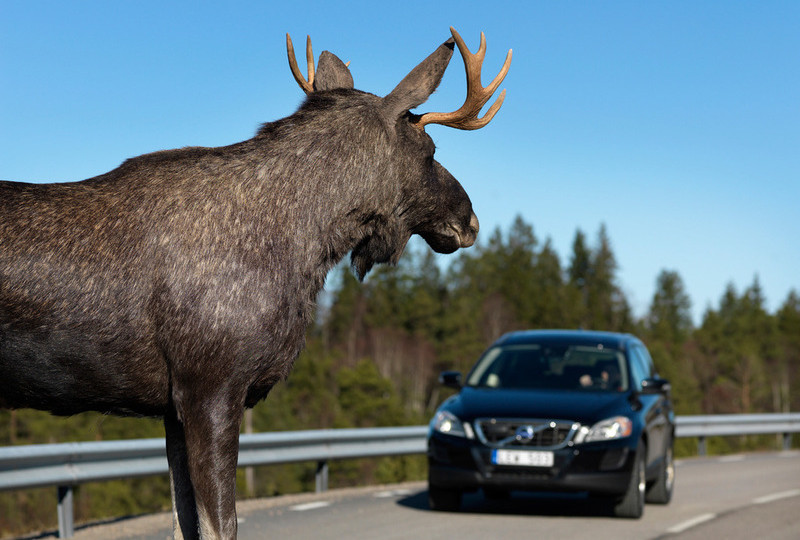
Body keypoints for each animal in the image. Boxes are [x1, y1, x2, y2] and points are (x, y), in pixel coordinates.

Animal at [0, 30, 512, 540]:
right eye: (431, 152)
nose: (470, 220)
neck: (304, 247)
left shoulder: (172, 406)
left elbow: (185, 523)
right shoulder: (211, 387)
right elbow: (219, 525)